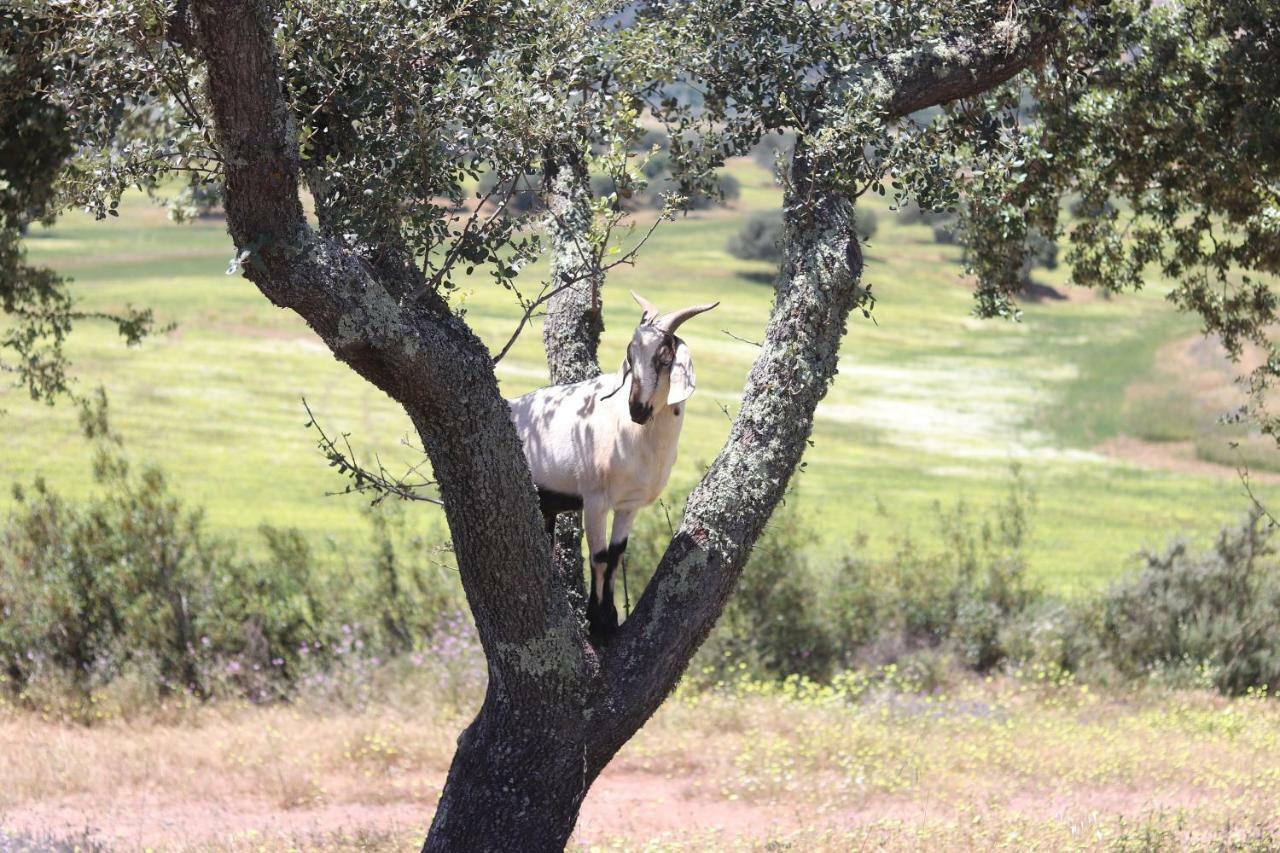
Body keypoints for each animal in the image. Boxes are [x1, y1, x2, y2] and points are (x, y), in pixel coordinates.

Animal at [509, 290, 721, 637]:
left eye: (665, 356)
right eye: (630, 356)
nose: (637, 408)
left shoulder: (628, 505)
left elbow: (616, 555)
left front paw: (611, 619)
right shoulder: (595, 500)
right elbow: (598, 556)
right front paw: (597, 623)